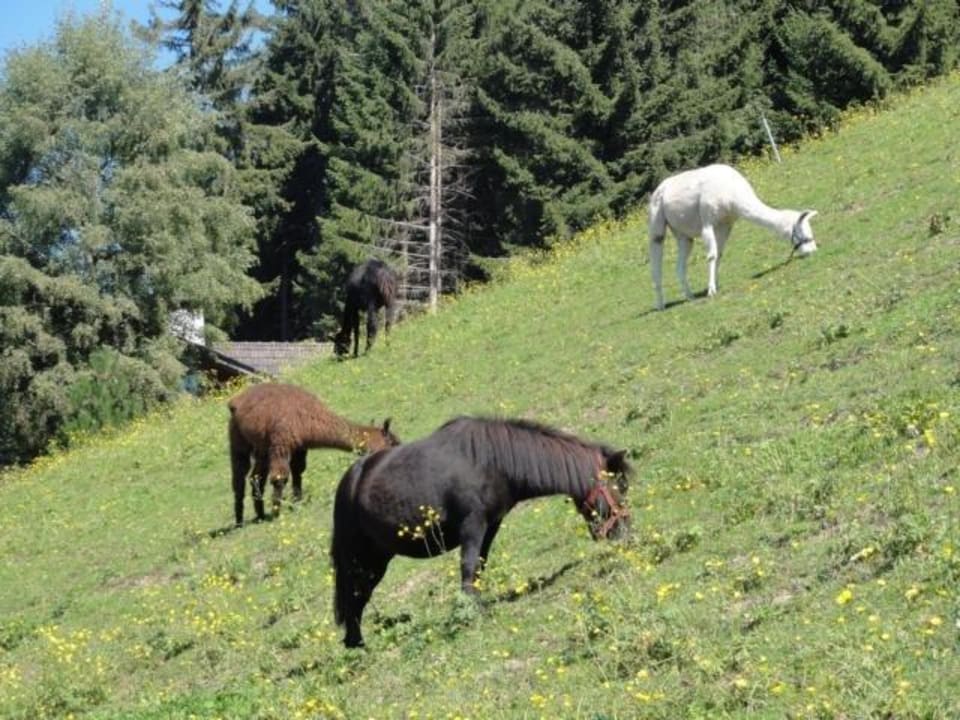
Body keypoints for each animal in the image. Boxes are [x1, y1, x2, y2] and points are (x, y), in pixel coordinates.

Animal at [330, 416, 631, 647]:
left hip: (378, 558)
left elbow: (479, 567)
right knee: (356, 593)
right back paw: (356, 644)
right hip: (362, 558)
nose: (627, 536)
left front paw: (477, 605)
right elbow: (468, 565)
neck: (491, 461)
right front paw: (470, 611)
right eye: (621, 487)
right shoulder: (472, 525)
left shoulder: (490, 526)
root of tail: (350, 482)